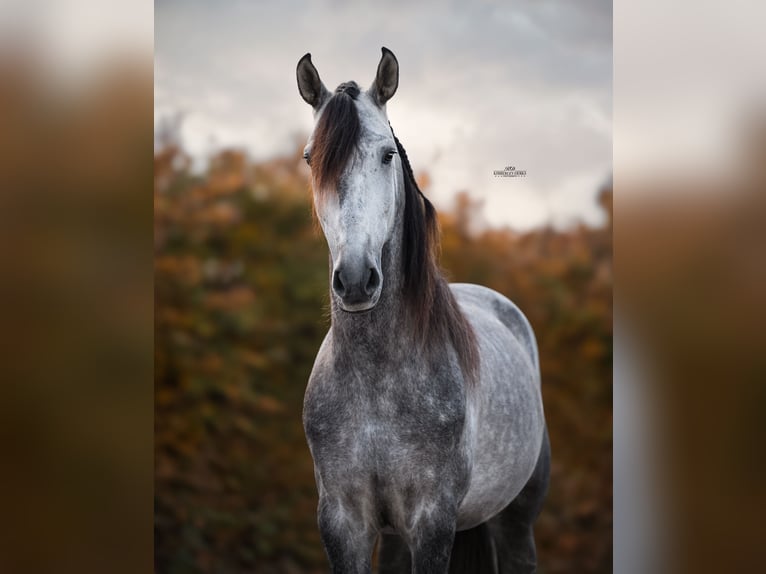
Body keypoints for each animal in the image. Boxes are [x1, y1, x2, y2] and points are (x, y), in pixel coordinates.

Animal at [296, 47, 552, 572]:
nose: (356, 280)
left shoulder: (432, 523)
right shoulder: (342, 523)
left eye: (387, 154)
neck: (376, 381)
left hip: (516, 521)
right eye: (312, 159)